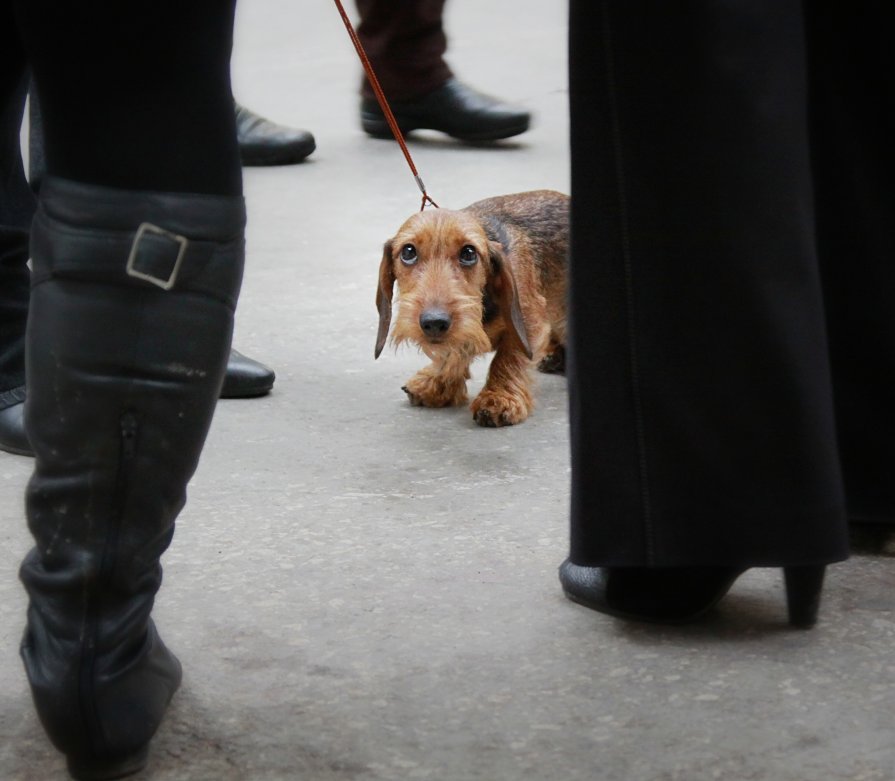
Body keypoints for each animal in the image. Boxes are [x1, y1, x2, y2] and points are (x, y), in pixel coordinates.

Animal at [374, 192, 572, 430]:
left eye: (469, 253)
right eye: (408, 251)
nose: (434, 322)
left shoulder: (529, 318)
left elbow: (510, 355)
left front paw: (499, 398)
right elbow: (455, 349)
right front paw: (437, 381)